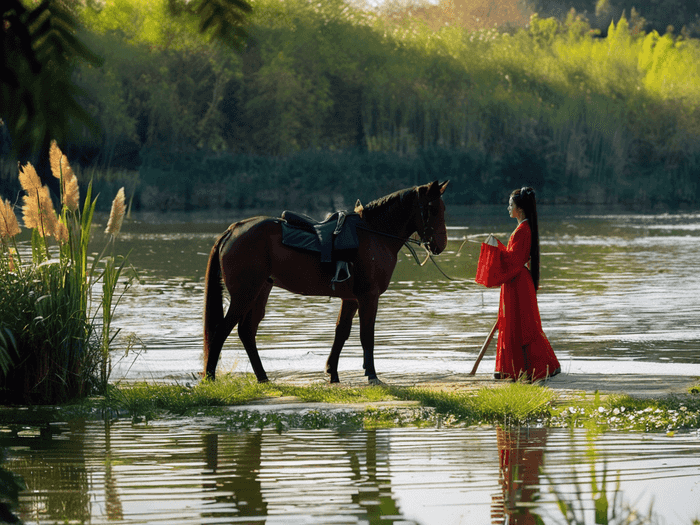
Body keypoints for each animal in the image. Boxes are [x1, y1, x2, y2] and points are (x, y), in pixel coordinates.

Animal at [202, 181, 452, 384]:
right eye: (433, 209)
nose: (440, 245)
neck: (374, 234)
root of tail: (233, 230)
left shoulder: (351, 299)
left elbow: (341, 332)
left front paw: (332, 372)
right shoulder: (368, 297)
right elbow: (366, 335)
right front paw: (371, 374)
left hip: (260, 291)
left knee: (246, 331)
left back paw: (262, 377)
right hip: (244, 294)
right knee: (222, 330)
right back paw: (210, 377)